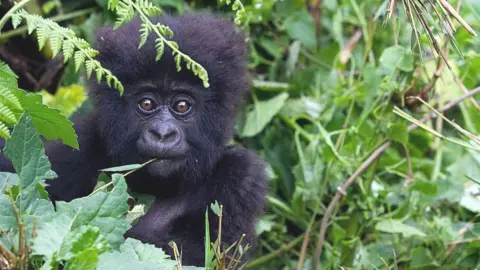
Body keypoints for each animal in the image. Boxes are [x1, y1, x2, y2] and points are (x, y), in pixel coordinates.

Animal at [42, 13, 266, 264]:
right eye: (147, 104)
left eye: (181, 105)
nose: (162, 133)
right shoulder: (75, 145)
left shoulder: (243, 177)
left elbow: (204, 254)